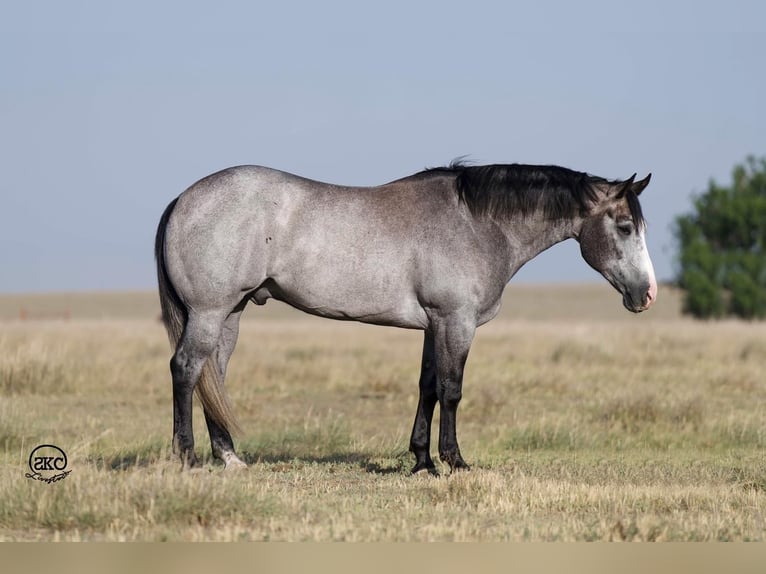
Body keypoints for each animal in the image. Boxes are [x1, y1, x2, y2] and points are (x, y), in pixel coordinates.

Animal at [153, 160, 656, 474]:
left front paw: (421, 460)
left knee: (213, 376)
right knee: (186, 369)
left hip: (230, 314)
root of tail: (182, 198)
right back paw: (187, 457)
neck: (475, 224)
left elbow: (428, 387)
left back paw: (229, 457)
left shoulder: (435, 325)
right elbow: (452, 391)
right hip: (209, 312)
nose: (647, 294)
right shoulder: (456, 321)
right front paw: (454, 461)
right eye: (624, 227)